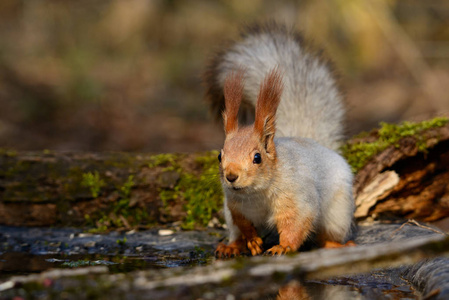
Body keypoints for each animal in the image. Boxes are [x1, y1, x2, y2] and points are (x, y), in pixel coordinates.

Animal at [203, 22, 354, 256]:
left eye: (257, 158)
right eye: (220, 156)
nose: (231, 176)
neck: (256, 193)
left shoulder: (297, 199)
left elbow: (296, 224)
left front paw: (283, 247)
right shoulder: (236, 206)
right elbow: (244, 224)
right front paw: (252, 240)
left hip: (337, 212)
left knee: (327, 236)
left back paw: (337, 245)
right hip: (228, 216)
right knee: (236, 232)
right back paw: (231, 247)